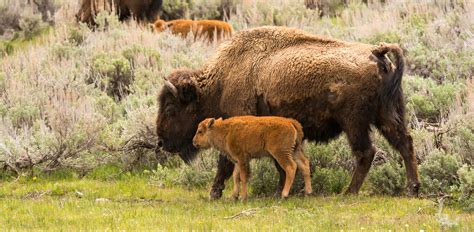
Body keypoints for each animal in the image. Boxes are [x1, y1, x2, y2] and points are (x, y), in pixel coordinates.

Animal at [157, 25, 420, 199]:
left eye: (170, 108)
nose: (160, 142)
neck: (221, 81)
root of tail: (377, 53)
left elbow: (227, 162)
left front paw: (214, 193)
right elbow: (279, 164)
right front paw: (280, 191)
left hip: (354, 123)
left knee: (366, 152)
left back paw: (349, 191)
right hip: (388, 115)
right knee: (404, 143)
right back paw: (412, 189)